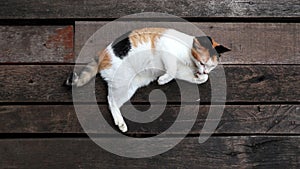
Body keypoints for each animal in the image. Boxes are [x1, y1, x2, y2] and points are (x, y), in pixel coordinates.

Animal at [65, 27, 230, 133]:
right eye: (202, 63)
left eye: (211, 67)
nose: (203, 70)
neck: (189, 57)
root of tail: (101, 54)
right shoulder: (166, 49)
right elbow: (171, 70)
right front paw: (163, 80)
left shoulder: (182, 71)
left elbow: (200, 78)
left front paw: (201, 77)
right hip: (123, 81)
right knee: (110, 99)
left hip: (129, 86)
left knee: (113, 101)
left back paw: (120, 123)